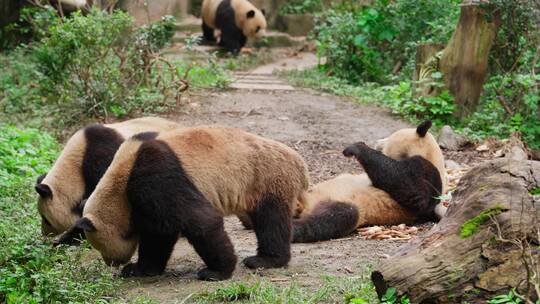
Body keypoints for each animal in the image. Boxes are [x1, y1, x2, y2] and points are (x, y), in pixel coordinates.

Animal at [69, 125, 310, 280]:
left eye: (100, 246)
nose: (112, 263)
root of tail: (299, 163)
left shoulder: (155, 177)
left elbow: (201, 221)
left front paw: (216, 272)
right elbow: (158, 234)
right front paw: (140, 269)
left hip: (267, 177)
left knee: (271, 220)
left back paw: (264, 260)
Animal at [292, 120, 448, 242]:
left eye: (389, 136)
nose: (378, 142)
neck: (430, 155)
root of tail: (304, 206)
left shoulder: (429, 174)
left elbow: (412, 190)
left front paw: (357, 147)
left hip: (344, 205)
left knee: (335, 217)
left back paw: (294, 228)